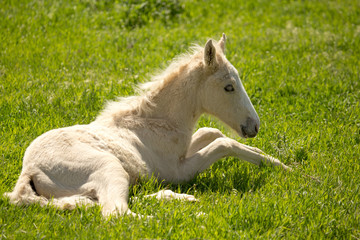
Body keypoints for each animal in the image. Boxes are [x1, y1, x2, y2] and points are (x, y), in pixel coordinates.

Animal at [4, 34, 290, 218]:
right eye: (229, 87)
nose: (254, 126)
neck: (158, 122)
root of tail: (29, 170)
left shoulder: (184, 150)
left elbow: (211, 131)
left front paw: (270, 158)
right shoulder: (179, 171)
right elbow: (224, 142)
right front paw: (285, 167)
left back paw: (182, 199)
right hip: (109, 167)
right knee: (117, 213)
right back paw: (187, 215)